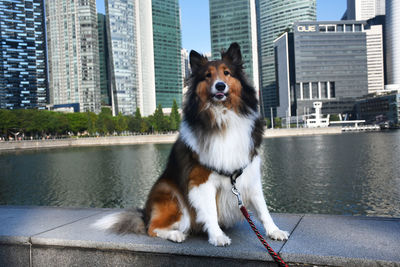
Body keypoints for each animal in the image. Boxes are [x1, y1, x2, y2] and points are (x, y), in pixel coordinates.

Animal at [93, 43, 288, 247]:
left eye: (226, 73)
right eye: (208, 75)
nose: (220, 85)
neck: (222, 116)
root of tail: (145, 214)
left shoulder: (249, 173)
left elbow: (263, 208)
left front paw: (274, 231)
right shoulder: (201, 180)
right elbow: (210, 210)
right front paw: (217, 236)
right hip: (171, 195)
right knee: (152, 228)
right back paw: (175, 234)